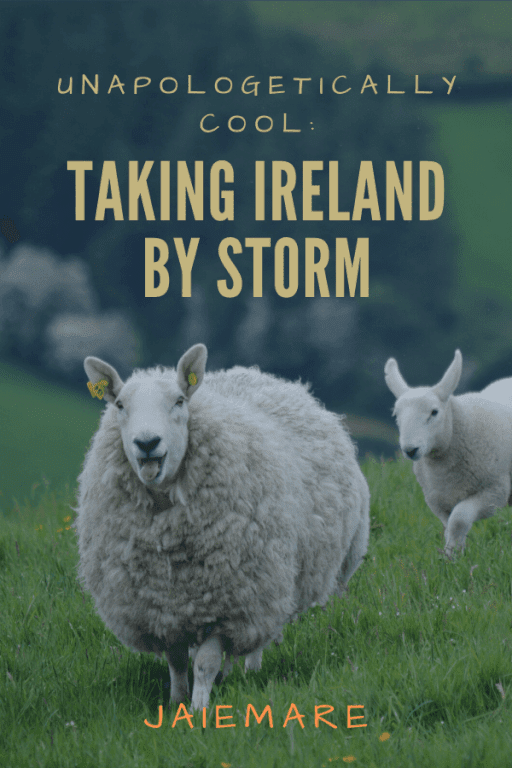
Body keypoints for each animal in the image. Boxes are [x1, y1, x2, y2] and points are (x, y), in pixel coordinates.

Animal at [76, 344, 368, 712]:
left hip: (271, 583)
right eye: (119, 405)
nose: (147, 443)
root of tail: (258, 375)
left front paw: (199, 709)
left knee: (260, 634)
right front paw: (177, 702)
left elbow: (204, 662)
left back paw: (250, 670)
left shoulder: (227, 603)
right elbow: (176, 661)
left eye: (179, 401)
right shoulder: (162, 607)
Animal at [384, 350, 512, 560]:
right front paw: (453, 555)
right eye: (396, 415)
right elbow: (450, 527)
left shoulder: (494, 491)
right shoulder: (439, 501)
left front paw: (451, 557)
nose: (410, 450)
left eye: (434, 412)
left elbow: (459, 520)